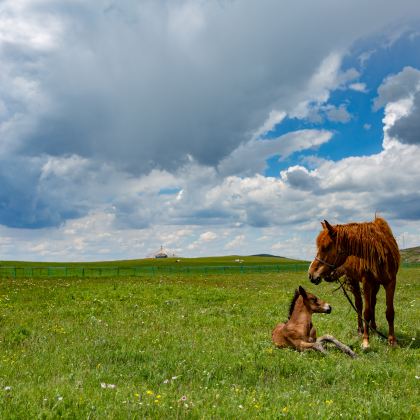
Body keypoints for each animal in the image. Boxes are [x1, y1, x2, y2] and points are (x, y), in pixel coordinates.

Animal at [308, 217, 400, 348]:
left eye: (325, 247)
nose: (311, 274)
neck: (379, 253)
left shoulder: (391, 282)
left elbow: (390, 312)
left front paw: (392, 340)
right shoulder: (367, 282)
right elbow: (366, 312)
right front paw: (366, 341)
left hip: (375, 285)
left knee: (373, 303)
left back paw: (373, 328)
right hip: (354, 281)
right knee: (359, 304)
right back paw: (361, 330)